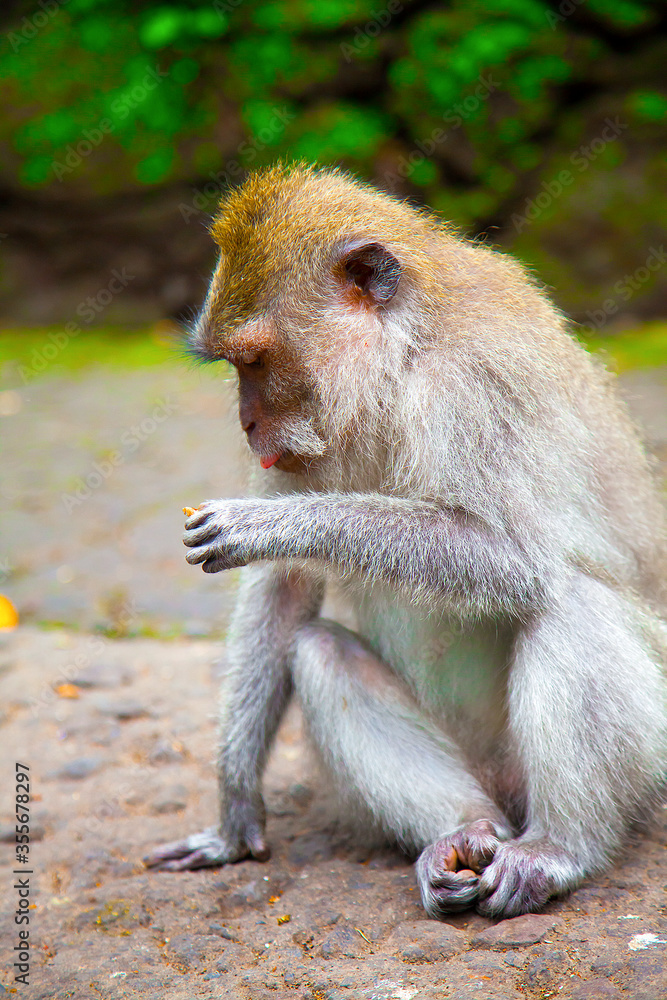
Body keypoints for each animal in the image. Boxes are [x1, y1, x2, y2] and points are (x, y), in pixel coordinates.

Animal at [144, 163, 667, 919]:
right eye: (234, 366)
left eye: (255, 361)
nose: (246, 423)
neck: (401, 364)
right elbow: (284, 591)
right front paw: (234, 809)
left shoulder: (479, 384)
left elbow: (515, 560)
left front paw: (266, 525)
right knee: (319, 652)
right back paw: (461, 830)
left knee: (568, 600)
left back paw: (558, 849)